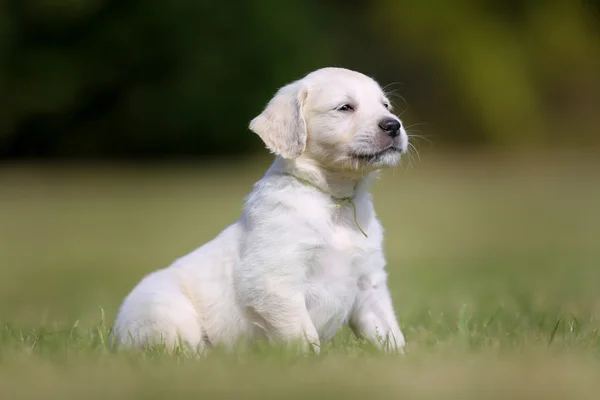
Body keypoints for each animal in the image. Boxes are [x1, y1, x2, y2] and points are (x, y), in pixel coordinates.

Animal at [109, 68, 408, 354]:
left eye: (386, 105)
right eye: (345, 107)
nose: (393, 125)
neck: (335, 202)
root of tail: (116, 335)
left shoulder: (369, 283)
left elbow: (389, 331)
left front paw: (400, 357)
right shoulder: (275, 283)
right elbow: (303, 336)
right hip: (166, 312)